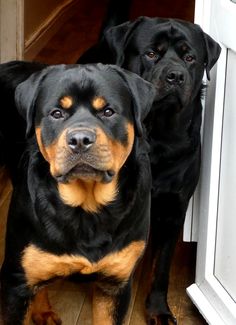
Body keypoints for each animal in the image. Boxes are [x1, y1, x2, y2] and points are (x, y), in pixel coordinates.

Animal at [0, 61, 156, 324]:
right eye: (57, 113)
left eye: (108, 112)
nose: (81, 139)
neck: (87, 208)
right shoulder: (15, 284)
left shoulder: (115, 285)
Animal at [77, 16, 221, 322]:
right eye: (152, 53)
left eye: (190, 58)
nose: (175, 76)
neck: (158, 134)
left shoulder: (173, 209)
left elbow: (161, 267)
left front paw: (158, 309)